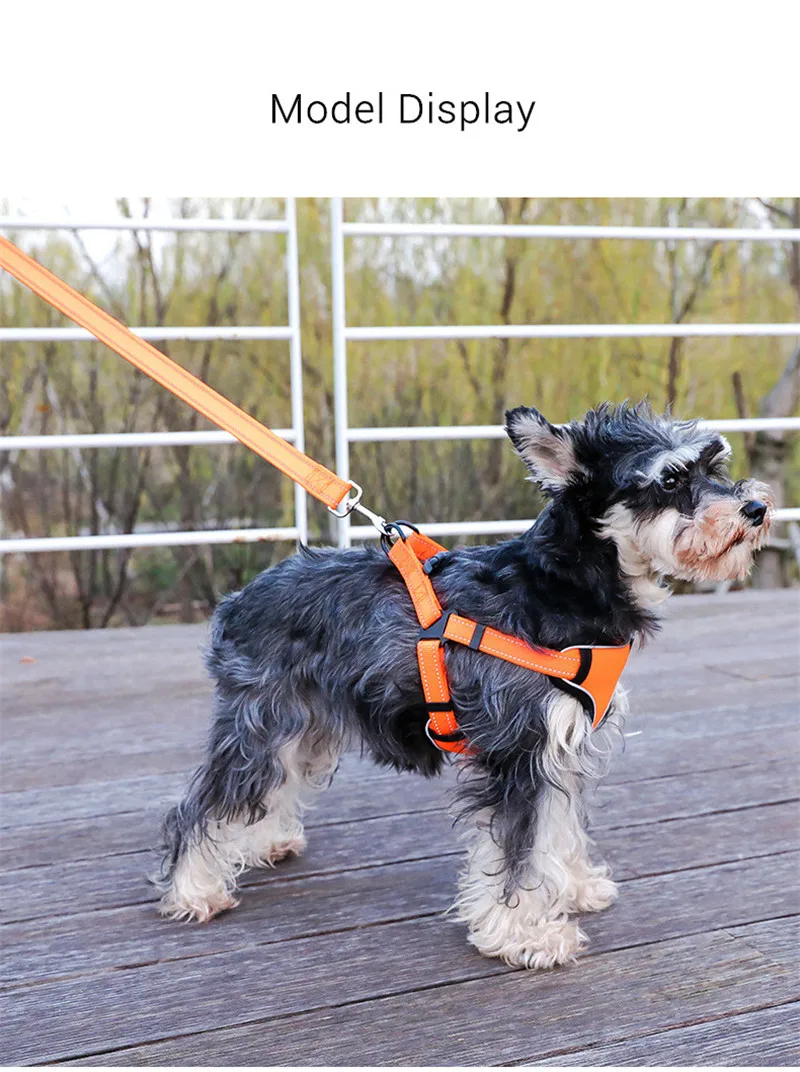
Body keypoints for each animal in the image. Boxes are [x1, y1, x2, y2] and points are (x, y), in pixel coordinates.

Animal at [152, 403, 767, 973]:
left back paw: (263, 841)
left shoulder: (559, 751)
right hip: (262, 726)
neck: (559, 589)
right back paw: (194, 890)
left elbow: (558, 830)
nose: (756, 508)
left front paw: (572, 888)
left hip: (307, 729)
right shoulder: (519, 754)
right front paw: (526, 935)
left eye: (714, 464)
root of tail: (238, 599)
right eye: (669, 480)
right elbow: (518, 849)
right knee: (202, 806)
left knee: (272, 787)